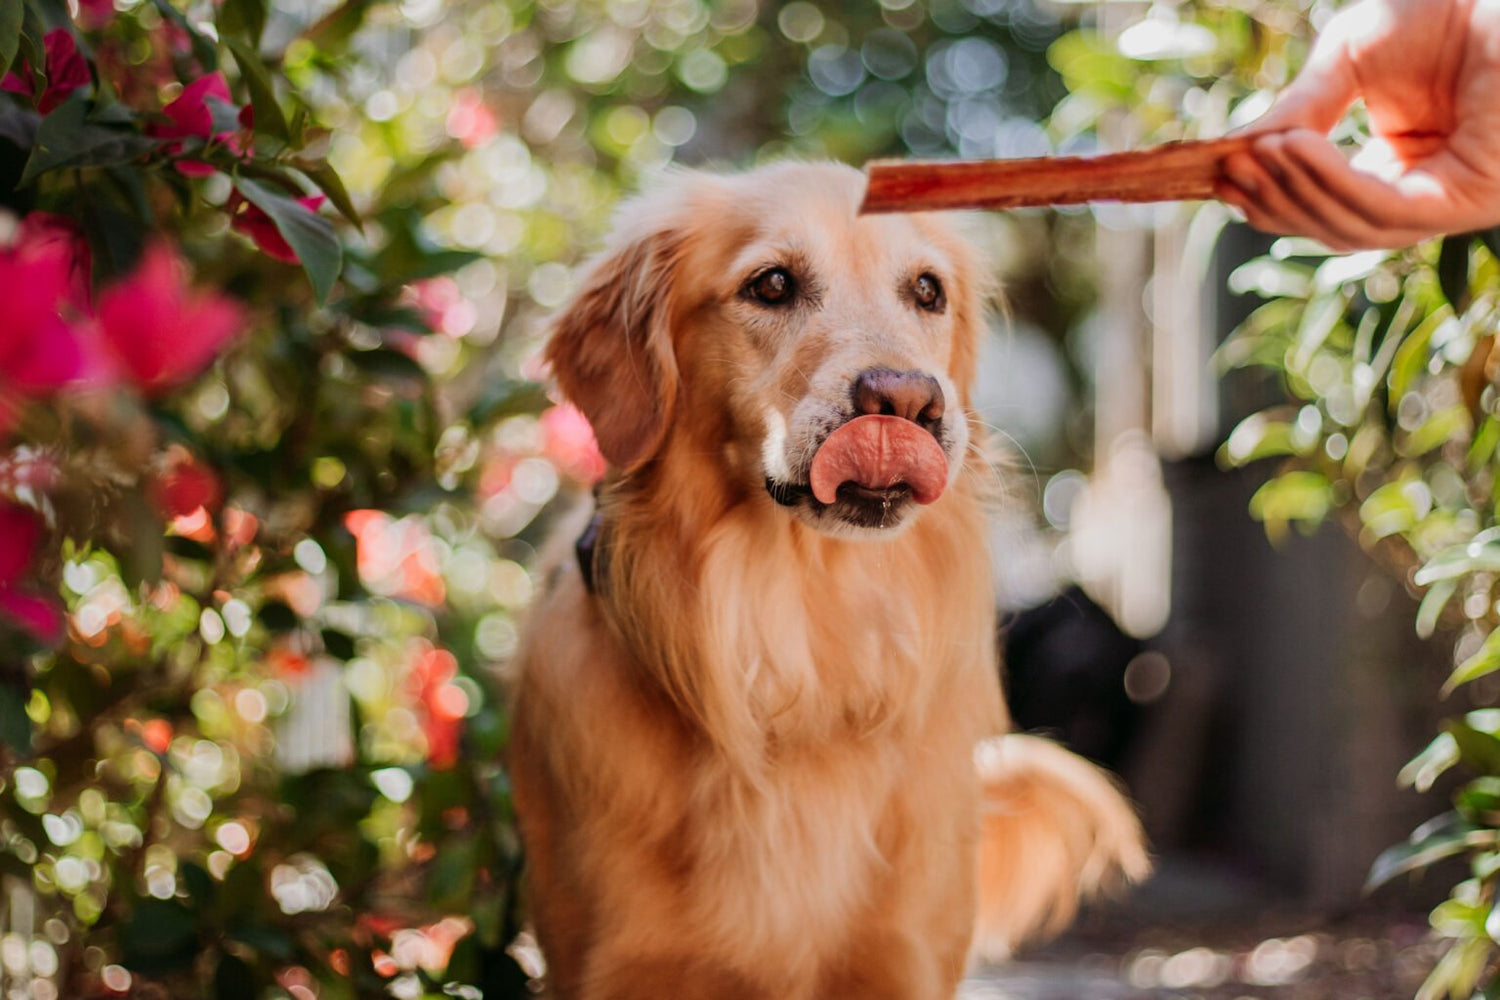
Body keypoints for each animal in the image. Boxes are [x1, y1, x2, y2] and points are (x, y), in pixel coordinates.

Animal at [507, 164, 1146, 1000]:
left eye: (928, 291)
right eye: (772, 283)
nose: (907, 401)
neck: (800, 650)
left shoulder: (901, 958)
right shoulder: (613, 966)